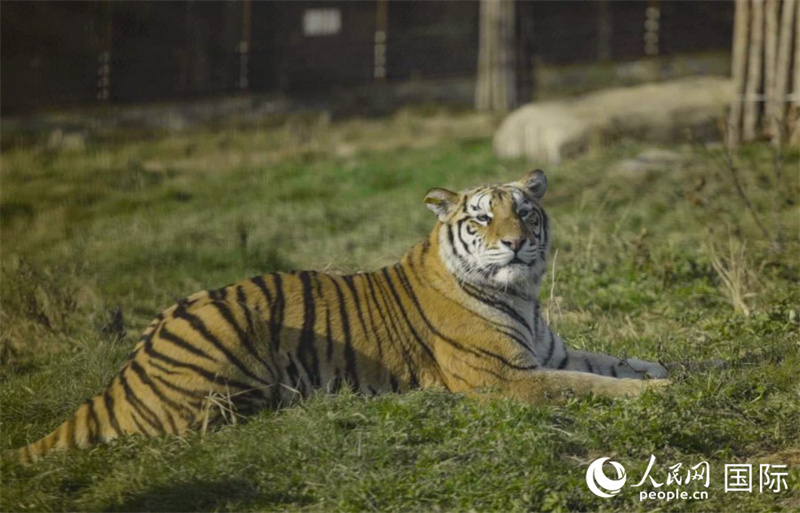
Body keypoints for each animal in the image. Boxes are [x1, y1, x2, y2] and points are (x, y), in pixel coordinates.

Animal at [9, 169, 668, 464]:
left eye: (526, 213)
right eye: (482, 218)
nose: (515, 244)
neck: (522, 296)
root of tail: (124, 371)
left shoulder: (551, 352)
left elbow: (627, 363)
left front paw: (675, 376)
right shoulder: (503, 379)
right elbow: (585, 386)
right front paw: (655, 397)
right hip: (229, 367)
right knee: (211, 425)